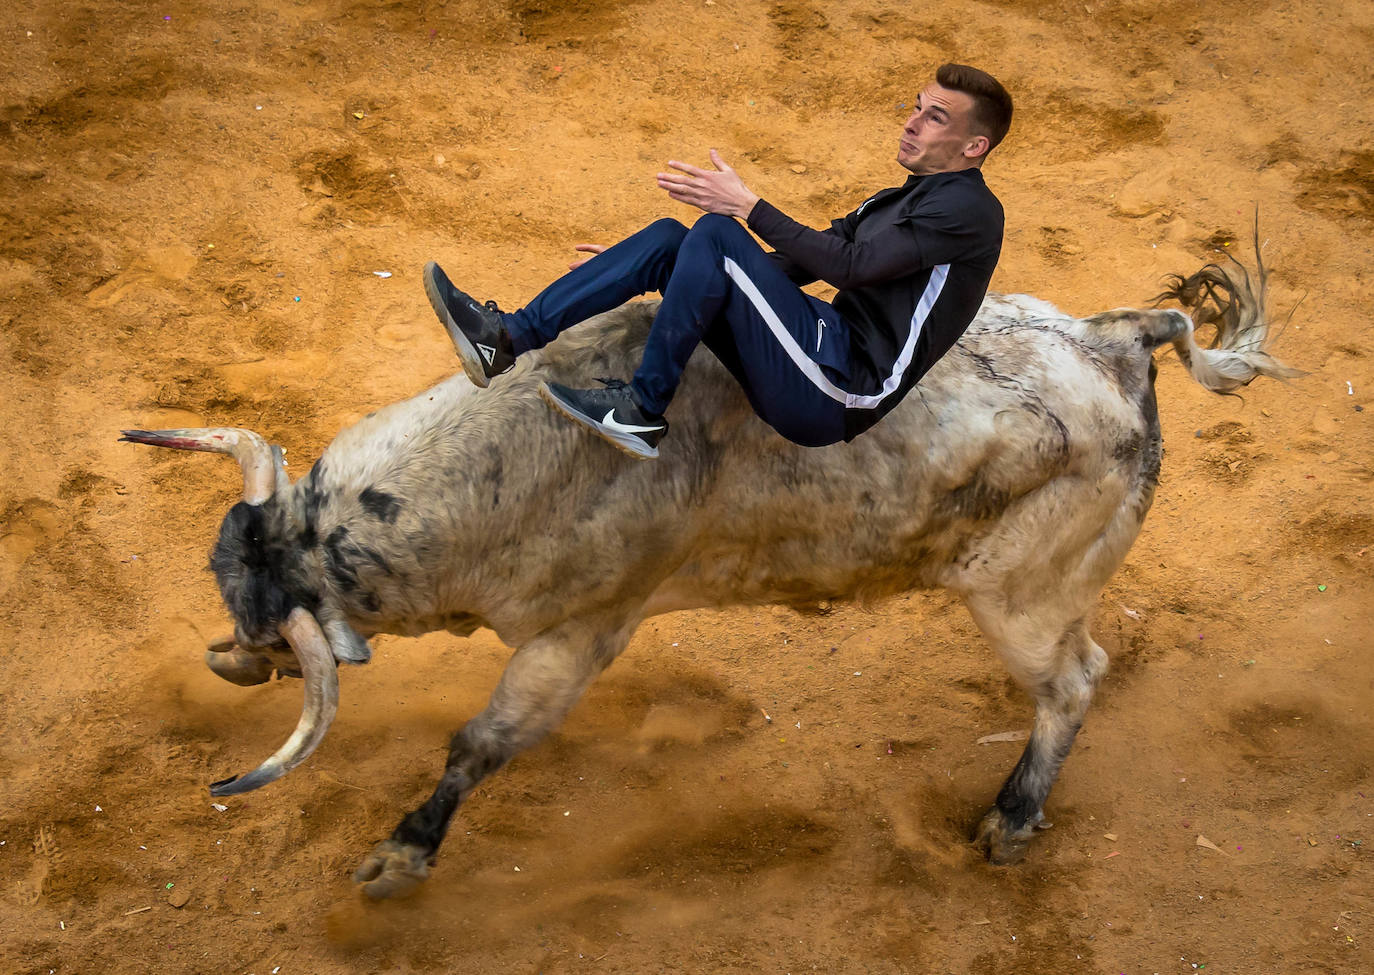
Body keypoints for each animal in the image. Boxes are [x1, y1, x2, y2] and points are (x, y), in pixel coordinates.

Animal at [123, 245, 1291, 900]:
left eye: (272, 625)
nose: (231, 657)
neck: (527, 449)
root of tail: (1118, 340)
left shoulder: (586, 629)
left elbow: (483, 741)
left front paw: (399, 858)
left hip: (1024, 598)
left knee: (1074, 681)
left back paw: (1009, 820)